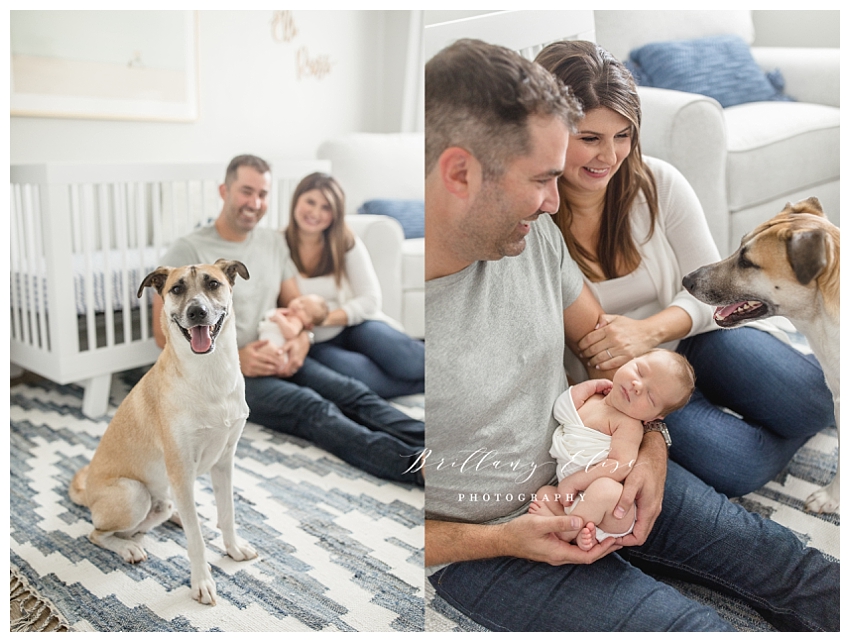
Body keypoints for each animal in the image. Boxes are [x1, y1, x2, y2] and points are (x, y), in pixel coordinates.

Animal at [70, 258, 256, 604]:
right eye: (177, 289)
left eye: (213, 284)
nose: (197, 312)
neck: (211, 373)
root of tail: (86, 492)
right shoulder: (181, 469)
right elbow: (195, 540)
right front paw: (202, 582)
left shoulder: (224, 462)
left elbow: (228, 514)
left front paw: (233, 548)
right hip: (134, 494)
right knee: (97, 532)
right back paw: (129, 547)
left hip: (165, 492)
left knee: (166, 510)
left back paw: (172, 516)